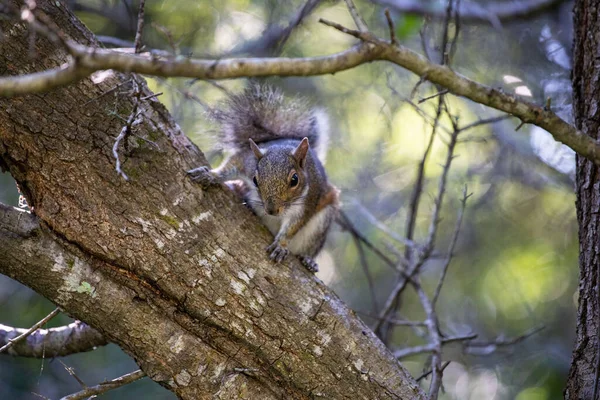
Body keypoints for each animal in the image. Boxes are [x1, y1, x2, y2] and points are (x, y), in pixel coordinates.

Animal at [189, 84, 338, 272]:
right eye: (254, 180)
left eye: (295, 180)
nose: (271, 210)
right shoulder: (246, 161)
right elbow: (230, 165)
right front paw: (210, 175)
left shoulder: (310, 199)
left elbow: (294, 225)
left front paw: (281, 245)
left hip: (320, 224)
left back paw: (308, 260)